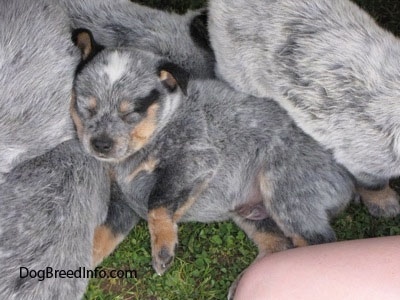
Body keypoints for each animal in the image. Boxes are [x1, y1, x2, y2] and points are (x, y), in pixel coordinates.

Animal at [73, 32, 354, 296]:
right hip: (253, 215)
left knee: (317, 240)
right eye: (86, 107)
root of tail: (349, 178)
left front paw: (162, 249)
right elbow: (98, 239)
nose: (100, 144)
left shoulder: (196, 159)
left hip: (284, 190)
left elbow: (158, 202)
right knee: (279, 245)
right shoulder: (122, 203)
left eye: (130, 113)